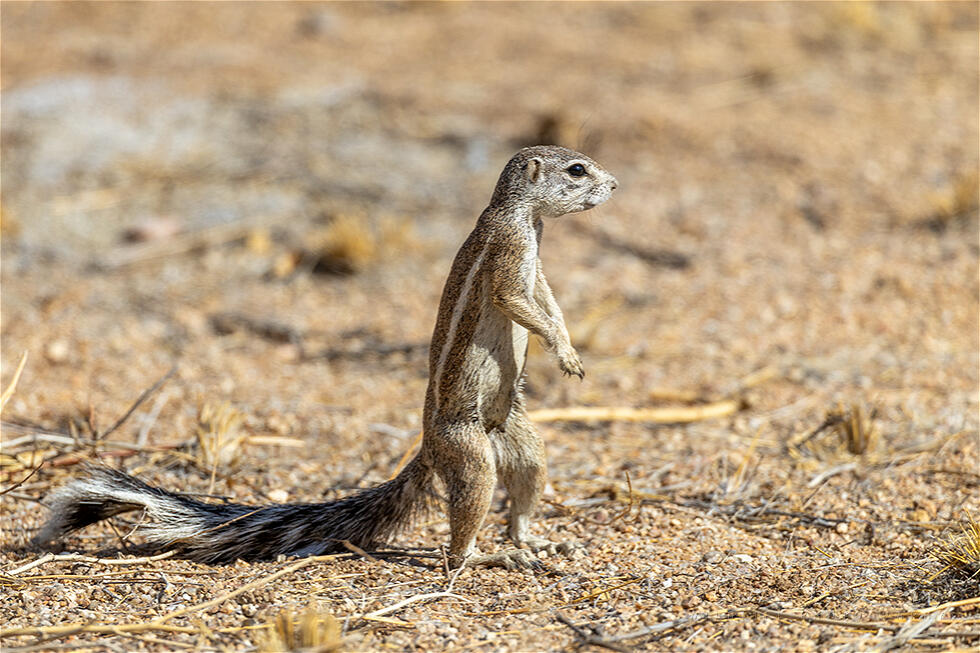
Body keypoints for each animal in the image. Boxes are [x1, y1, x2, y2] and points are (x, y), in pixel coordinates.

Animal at [34, 145, 618, 569]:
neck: (525, 216)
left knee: (524, 489)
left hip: (521, 441)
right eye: (577, 169)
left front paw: (570, 349)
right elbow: (518, 302)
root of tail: (428, 447)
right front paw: (564, 355)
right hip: (471, 455)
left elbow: (548, 303)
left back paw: (535, 543)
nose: (614, 185)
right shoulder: (510, 253)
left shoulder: (537, 268)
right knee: (463, 530)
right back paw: (488, 557)